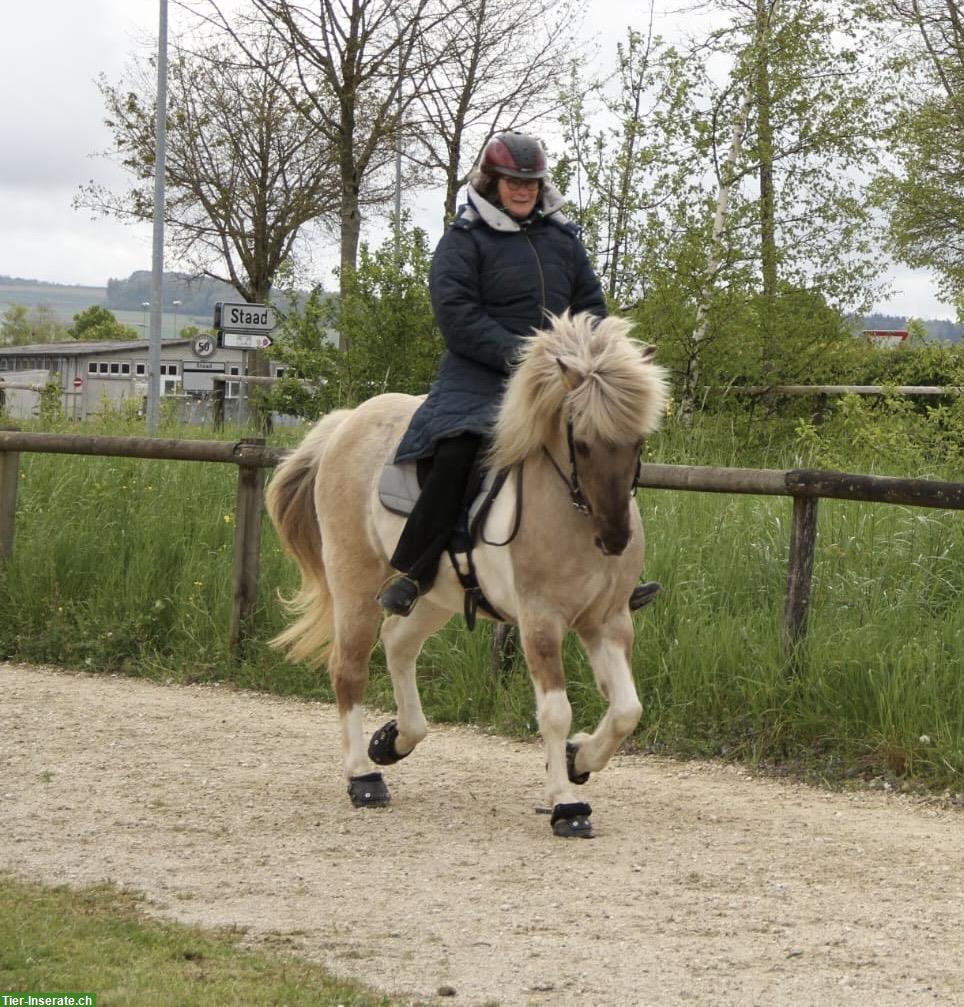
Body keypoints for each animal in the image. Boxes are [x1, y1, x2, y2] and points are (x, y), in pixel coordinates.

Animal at [263, 310, 668, 837]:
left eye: (638, 441)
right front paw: (565, 803)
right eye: (581, 442)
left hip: (436, 595)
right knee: (348, 668)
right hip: (353, 581)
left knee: (397, 641)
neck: (573, 514)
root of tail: (346, 422)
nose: (615, 539)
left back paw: (394, 740)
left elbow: (626, 711)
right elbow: (555, 712)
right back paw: (363, 776)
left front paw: (578, 759)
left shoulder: (608, 620)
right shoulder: (541, 622)